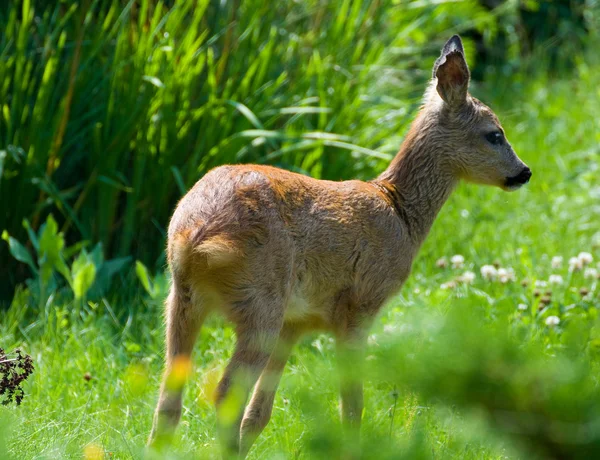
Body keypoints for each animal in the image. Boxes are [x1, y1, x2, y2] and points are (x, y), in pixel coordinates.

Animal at [149, 35, 528, 456]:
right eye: (494, 133)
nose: (524, 172)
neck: (401, 213)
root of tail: (195, 233)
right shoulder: (359, 305)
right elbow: (353, 402)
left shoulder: (297, 323)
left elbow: (260, 414)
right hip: (261, 301)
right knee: (224, 392)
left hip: (184, 300)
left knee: (169, 398)